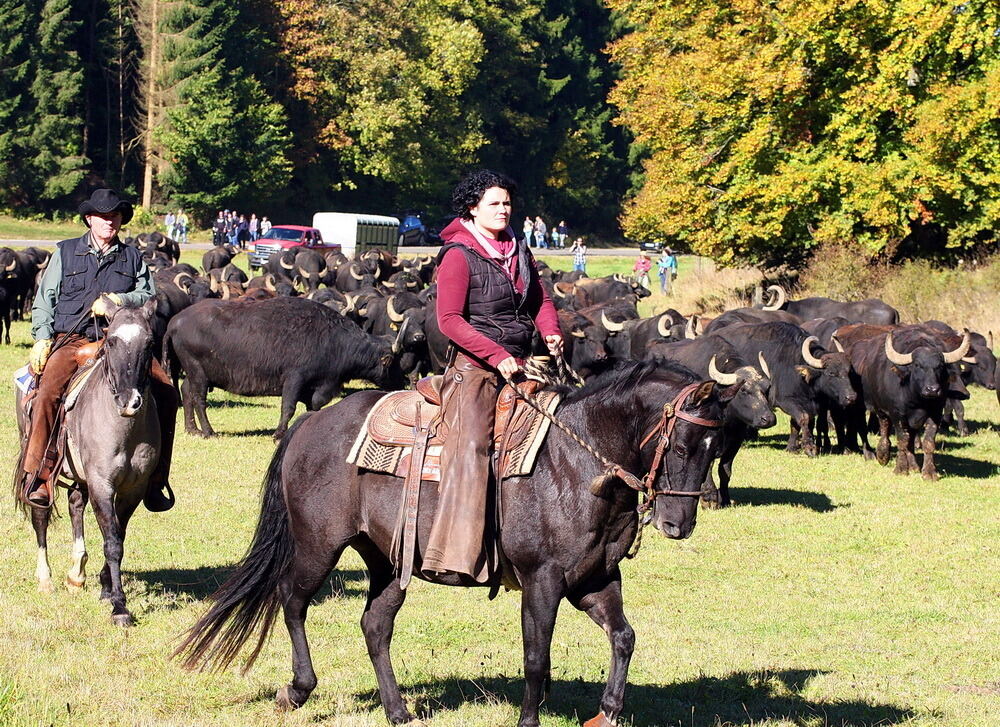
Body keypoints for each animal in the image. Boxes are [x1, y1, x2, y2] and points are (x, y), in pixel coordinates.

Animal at [176, 362, 732, 727]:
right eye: (682, 446)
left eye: (716, 449)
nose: (678, 524)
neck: (577, 463)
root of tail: (310, 423)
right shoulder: (542, 580)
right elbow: (536, 657)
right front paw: (530, 721)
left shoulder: (595, 579)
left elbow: (624, 637)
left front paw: (610, 711)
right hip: (318, 546)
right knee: (292, 601)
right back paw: (297, 688)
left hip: (387, 560)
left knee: (375, 625)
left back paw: (398, 711)